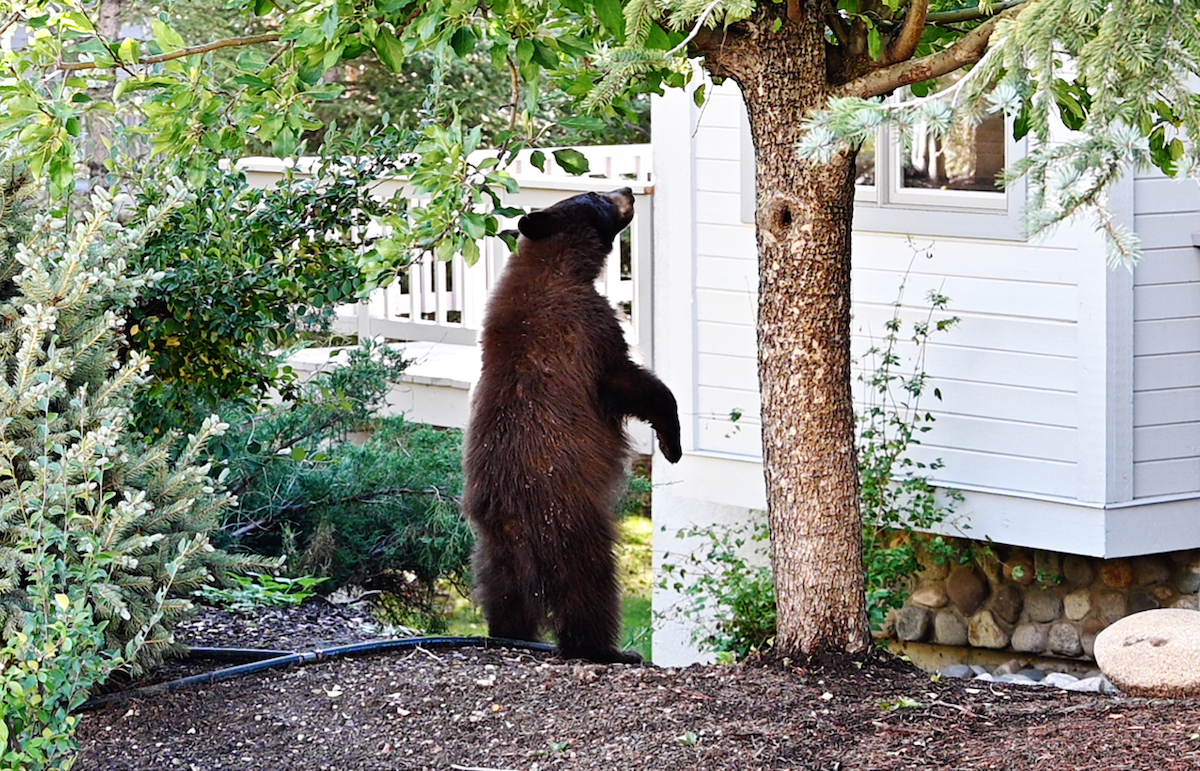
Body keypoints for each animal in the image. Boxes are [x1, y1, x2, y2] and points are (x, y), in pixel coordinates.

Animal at [462, 187, 682, 664]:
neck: (556, 265)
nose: (628, 189)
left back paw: (510, 634)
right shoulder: (587, 326)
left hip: (491, 550)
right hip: (571, 526)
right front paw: (671, 442)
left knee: (503, 595)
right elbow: (629, 381)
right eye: (595, 194)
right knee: (590, 590)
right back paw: (609, 650)